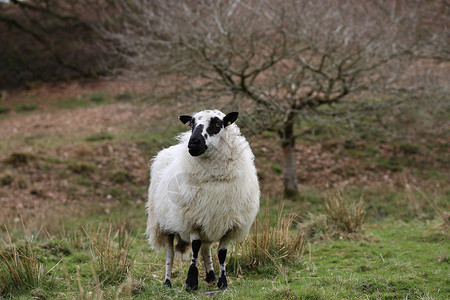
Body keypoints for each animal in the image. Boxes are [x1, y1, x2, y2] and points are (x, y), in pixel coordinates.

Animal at [147, 109, 260, 290]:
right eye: (192, 124)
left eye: (217, 123)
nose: (193, 143)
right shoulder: (191, 219)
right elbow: (195, 248)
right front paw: (191, 282)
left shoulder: (228, 224)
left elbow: (222, 253)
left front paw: (223, 282)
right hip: (163, 225)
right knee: (170, 254)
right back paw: (167, 281)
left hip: (208, 220)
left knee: (206, 248)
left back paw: (211, 275)